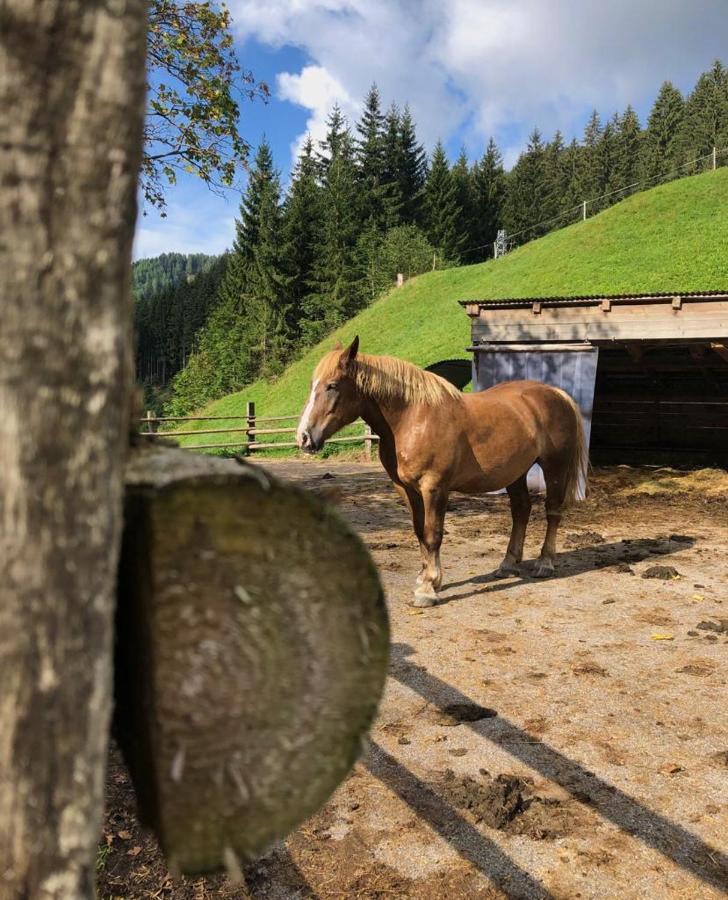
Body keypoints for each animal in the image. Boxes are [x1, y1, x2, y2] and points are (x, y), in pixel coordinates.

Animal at [298, 342, 588, 608]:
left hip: (554, 467)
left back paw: (545, 564)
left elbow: (432, 533)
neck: (412, 417)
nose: (303, 437)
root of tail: (557, 394)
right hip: (516, 473)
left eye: (332, 385)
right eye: (312, 384)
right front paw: (427, 577)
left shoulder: (434, 488)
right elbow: (419, 531)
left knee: (552, 512)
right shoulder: (406, 489)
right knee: (521, 511)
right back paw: (507, 564)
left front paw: (428, 589)